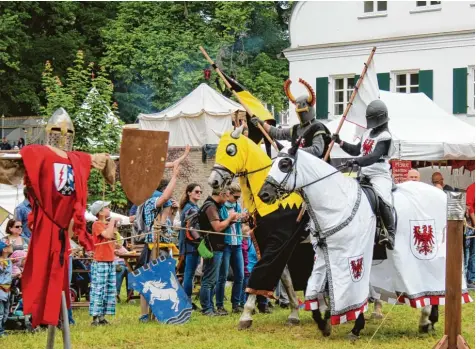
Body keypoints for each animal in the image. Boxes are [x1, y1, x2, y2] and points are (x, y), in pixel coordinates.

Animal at [258, 145, 470, 338]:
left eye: (285, 164)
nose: (264, 194)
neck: (337, 204)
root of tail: (443, 194)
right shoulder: (324, 256)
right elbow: (316, 288)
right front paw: (324, 323)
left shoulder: (353, 255)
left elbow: (354, 291)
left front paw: (355, 327)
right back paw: (427, 321)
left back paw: (429, 319)